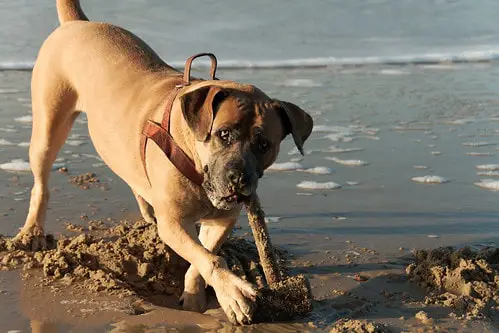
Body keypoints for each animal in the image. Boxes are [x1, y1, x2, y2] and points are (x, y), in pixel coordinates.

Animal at [16, 0, 312, 322]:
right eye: (223, 134)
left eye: (263, 145)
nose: (239, 177)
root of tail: (77, 23)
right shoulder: (173, 223)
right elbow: (210, 259)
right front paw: (232, 292)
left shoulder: (221, 221)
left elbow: (203, 257)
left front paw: (195, 298)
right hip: (48, 125)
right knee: (41, 183)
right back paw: (32, 231)